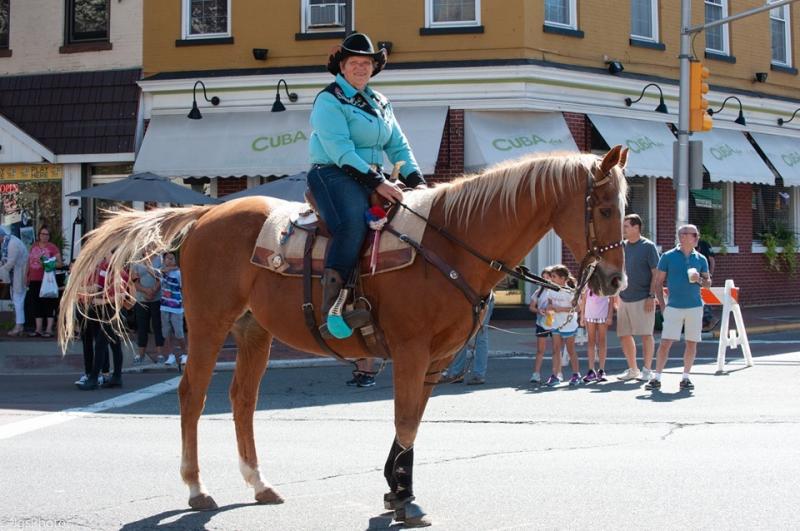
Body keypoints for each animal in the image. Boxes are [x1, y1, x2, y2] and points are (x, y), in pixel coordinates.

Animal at [59, 144, 629, 527]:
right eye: (603, 209)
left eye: (625, 209)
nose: (615, 281)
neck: (450, 243)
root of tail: (205, 214)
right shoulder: (411, 352)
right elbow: (404, 420)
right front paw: (403, 499)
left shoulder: (436, 361)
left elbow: (412, 426)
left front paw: (397, 491)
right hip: (208, 324)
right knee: (192, 395)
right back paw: (196, 488)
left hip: (253, 331)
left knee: (242, 400)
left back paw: (258, 482)